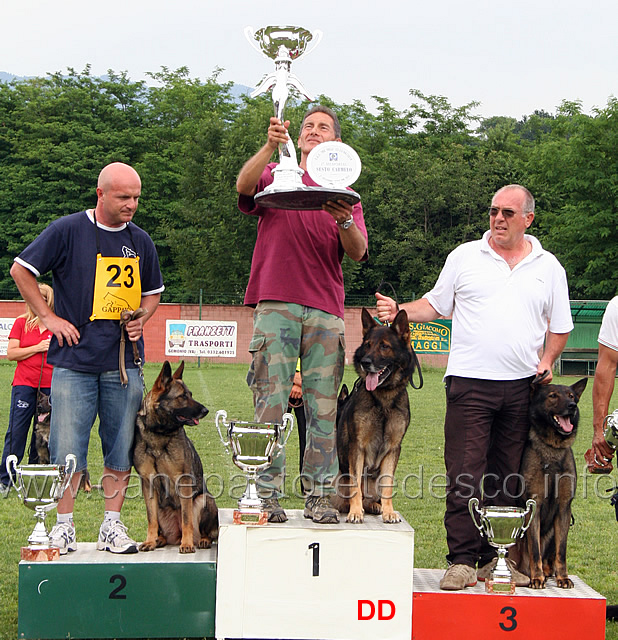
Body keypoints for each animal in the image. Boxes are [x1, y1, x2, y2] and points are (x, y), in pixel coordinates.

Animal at [134, 362, 218, 552]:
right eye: (182, 396)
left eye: (191, 394)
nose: (206, 410)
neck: (159, 434)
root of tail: (175, 536)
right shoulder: (148, 483)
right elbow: (151, 520)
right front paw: (149, 541)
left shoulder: (184, 481)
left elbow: (186, 519)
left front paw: (186, 545)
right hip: (160, 507)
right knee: (161, 528)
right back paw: (159, 539)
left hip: (204, 500)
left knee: (205, 532)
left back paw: (200, 540)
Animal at [330, 308, 416, 524]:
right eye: (367, 345)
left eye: (384, 346)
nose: (365, 362)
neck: (383, 398)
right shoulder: (357, 446)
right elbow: (355, 486)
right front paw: (355, 512)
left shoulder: (393, 449)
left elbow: (387, 485)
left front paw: (388, 512)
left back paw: (376, 506)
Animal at [516, 376, 584, 592]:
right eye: (553, 395)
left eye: (571, 396)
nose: (572, 406)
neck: (552, 447)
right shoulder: (533, 507)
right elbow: (535, 549)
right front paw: (536, 578)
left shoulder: (563, 508)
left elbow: (561, 551)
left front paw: (563, 577)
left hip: (553, 532)